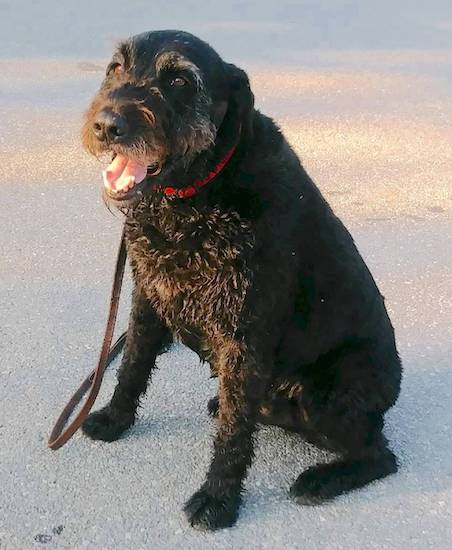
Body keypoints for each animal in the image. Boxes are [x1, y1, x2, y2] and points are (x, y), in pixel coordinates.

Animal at [81, 29, 402, 532]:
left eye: (179, 81)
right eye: (116, 67)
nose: (107, 125)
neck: (193, 196)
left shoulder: (244, 332)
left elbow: (233, 436)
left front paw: (218, 499)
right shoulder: (148, 295)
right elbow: (132, 362)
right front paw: (116, 417)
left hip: (326, 393)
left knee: (381, 454)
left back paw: (322, 479)